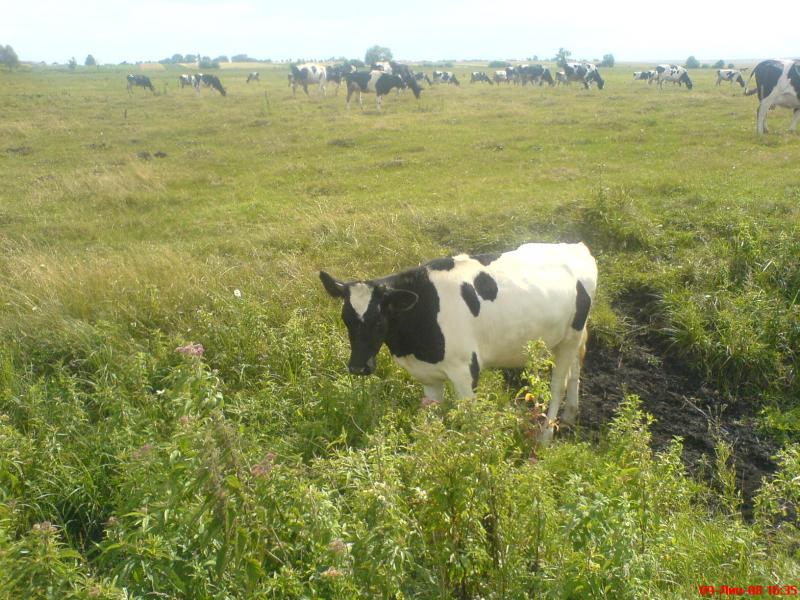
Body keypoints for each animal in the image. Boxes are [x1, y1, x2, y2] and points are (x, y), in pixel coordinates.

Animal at [322, 244, 596, 446]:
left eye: (379, 320)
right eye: (345, 319)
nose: (358, 367)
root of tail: (575, 247)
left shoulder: (465, 371)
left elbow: (471, 422)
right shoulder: (429, 378)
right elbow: (432, 420)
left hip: (570, 337)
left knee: (558, 385)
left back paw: (546, 436)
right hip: (569, 338)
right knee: (575, 370)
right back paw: (569, 418)